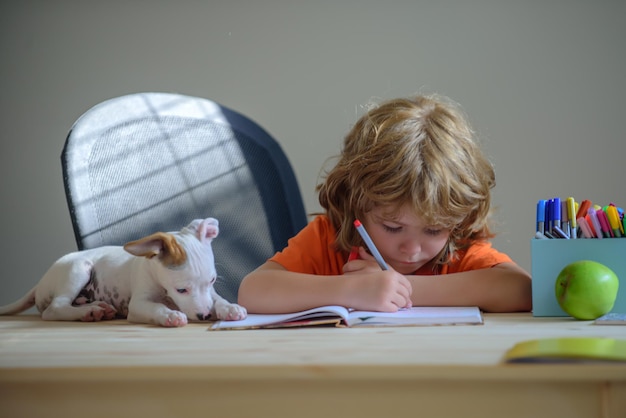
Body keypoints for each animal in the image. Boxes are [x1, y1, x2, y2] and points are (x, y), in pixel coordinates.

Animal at [0, 217, 246, 328]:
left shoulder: (210, 293)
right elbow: (156, 307)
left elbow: (218, 299)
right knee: (55, 308)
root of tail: (41, 282)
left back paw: (97, 308)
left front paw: (230, 308)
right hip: (78, 270)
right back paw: (88, 312)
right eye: (181, 290)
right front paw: (169, 315)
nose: (205, 316)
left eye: (212, 280)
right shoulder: (138, 304)